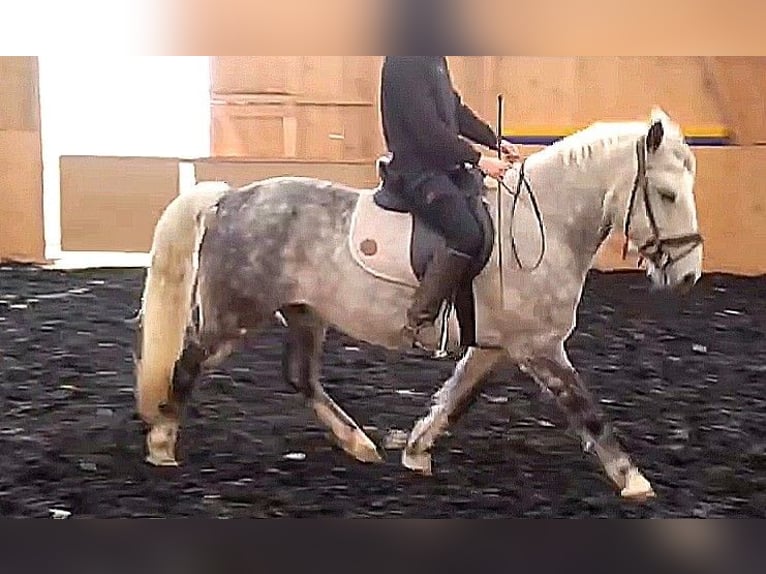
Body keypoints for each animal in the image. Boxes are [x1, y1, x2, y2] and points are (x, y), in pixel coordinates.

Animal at [135, 109, 704, 504]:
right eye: (667, 194)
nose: (688, 275)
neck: (542, 228)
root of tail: (229, 199)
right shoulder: (539, 347)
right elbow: (586, 410)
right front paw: (634, 481)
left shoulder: (495, 347)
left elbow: (456, 399)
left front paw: (415, 451)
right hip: (234, 315)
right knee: (188, 362)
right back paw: (161, 444)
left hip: (304, 313)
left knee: (300, 376)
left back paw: (359, 444)